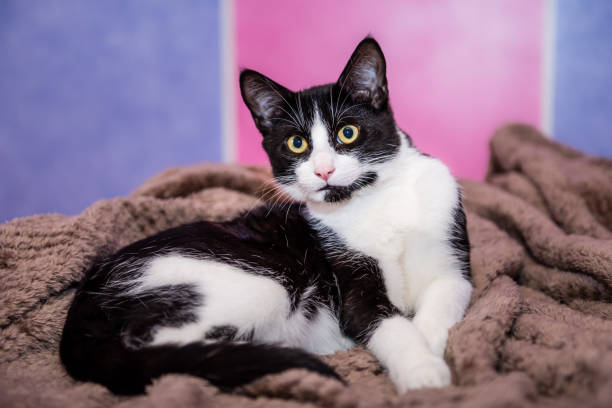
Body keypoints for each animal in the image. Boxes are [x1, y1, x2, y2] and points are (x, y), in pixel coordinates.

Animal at [61, 38, 474, 396]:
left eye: (348, 132)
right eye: (297, 143)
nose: (323, 170)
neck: (374, 197)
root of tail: (90, 290)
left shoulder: (452, 260)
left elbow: (444, 299)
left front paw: (429, 348)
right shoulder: (352, 285)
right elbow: (386, 324)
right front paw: (423, 372)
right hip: (256, 283)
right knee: (163, 350)